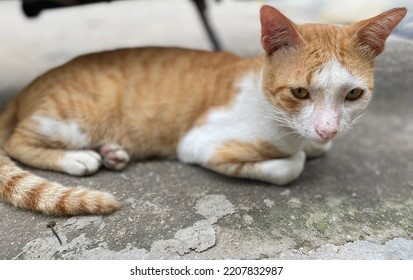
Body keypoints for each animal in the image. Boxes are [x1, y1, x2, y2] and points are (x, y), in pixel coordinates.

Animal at [0, 6, 406, 217]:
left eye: (353, 95)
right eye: (300, 92)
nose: (327, 129)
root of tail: (30, 87)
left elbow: (314, 150)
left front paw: (319, 144)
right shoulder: (202, 143)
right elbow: (291, 165)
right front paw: (297, 155)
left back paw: (111, 151)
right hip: (71, 121)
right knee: (16, 143)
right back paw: (79, 158)